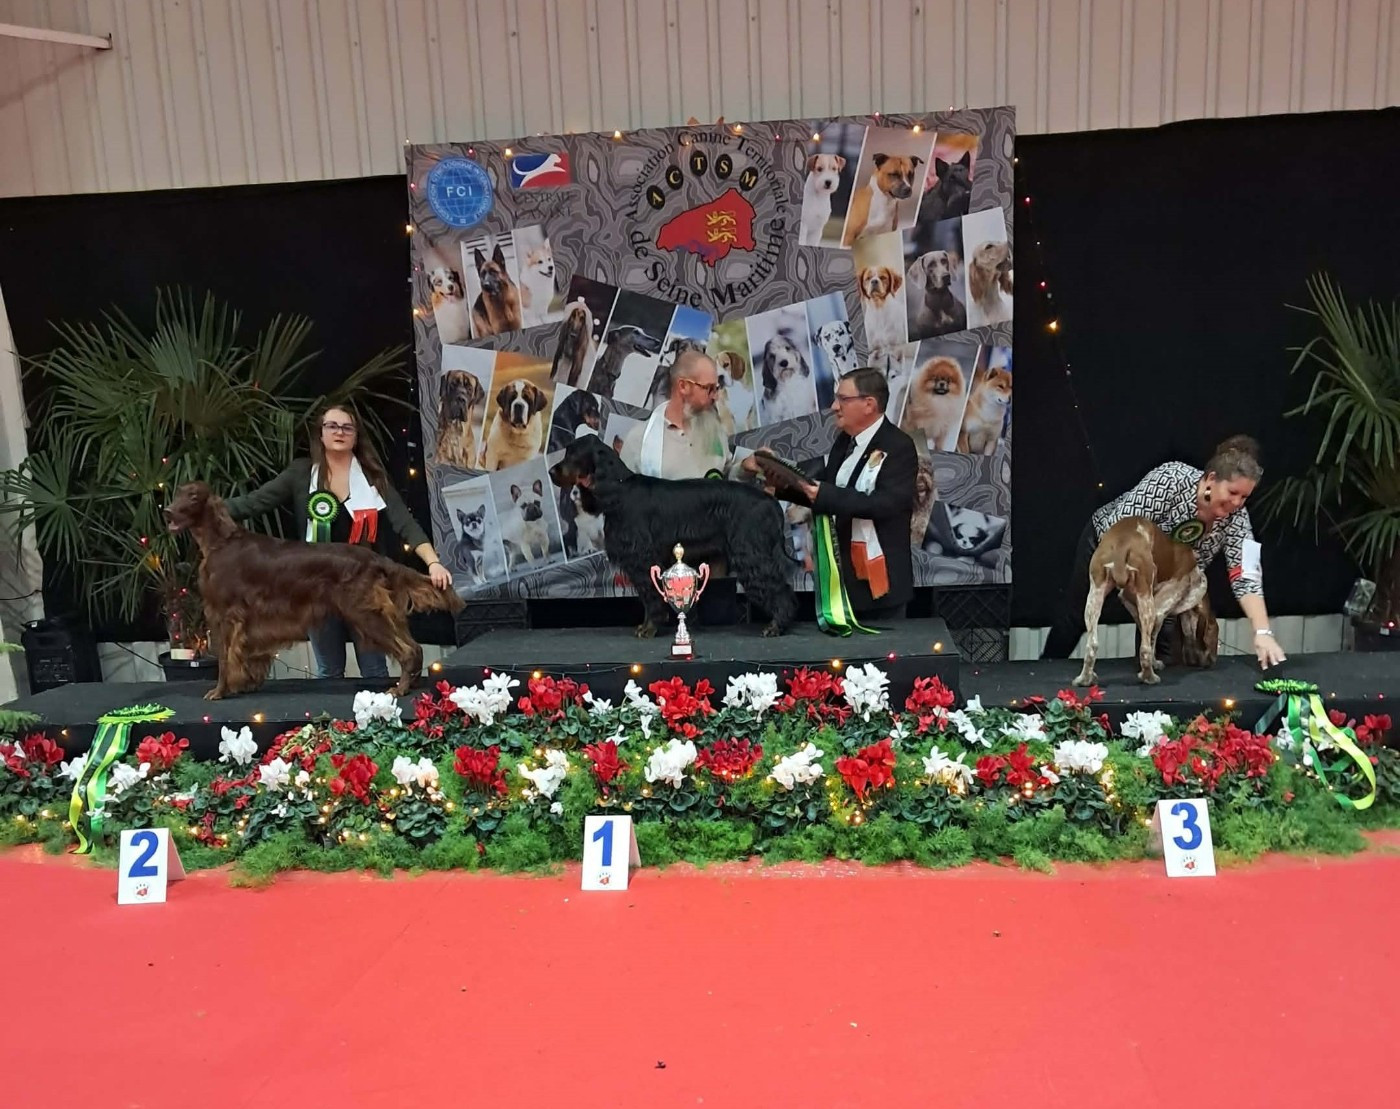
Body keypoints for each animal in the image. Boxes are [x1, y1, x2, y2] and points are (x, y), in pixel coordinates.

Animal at [549, 436, 795, 638]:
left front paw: (649, 628)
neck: (619, 490)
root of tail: (770, 502)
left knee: (778, 588)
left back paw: (776, 625)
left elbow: (650, 595)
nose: (551, 472)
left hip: (751, 553)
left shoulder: (642, 557)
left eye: (573, 453)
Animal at [1073, 517, 1213, 687]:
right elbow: (1151, 642)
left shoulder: (1127, 598)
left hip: (1094, 597)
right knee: (1145, 649)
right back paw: (1149, 677)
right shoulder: (1159, 610)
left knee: (1092, 645)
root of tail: (1122, 542)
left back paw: (1085, 679)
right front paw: (1154, 664)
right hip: (1146, 601)